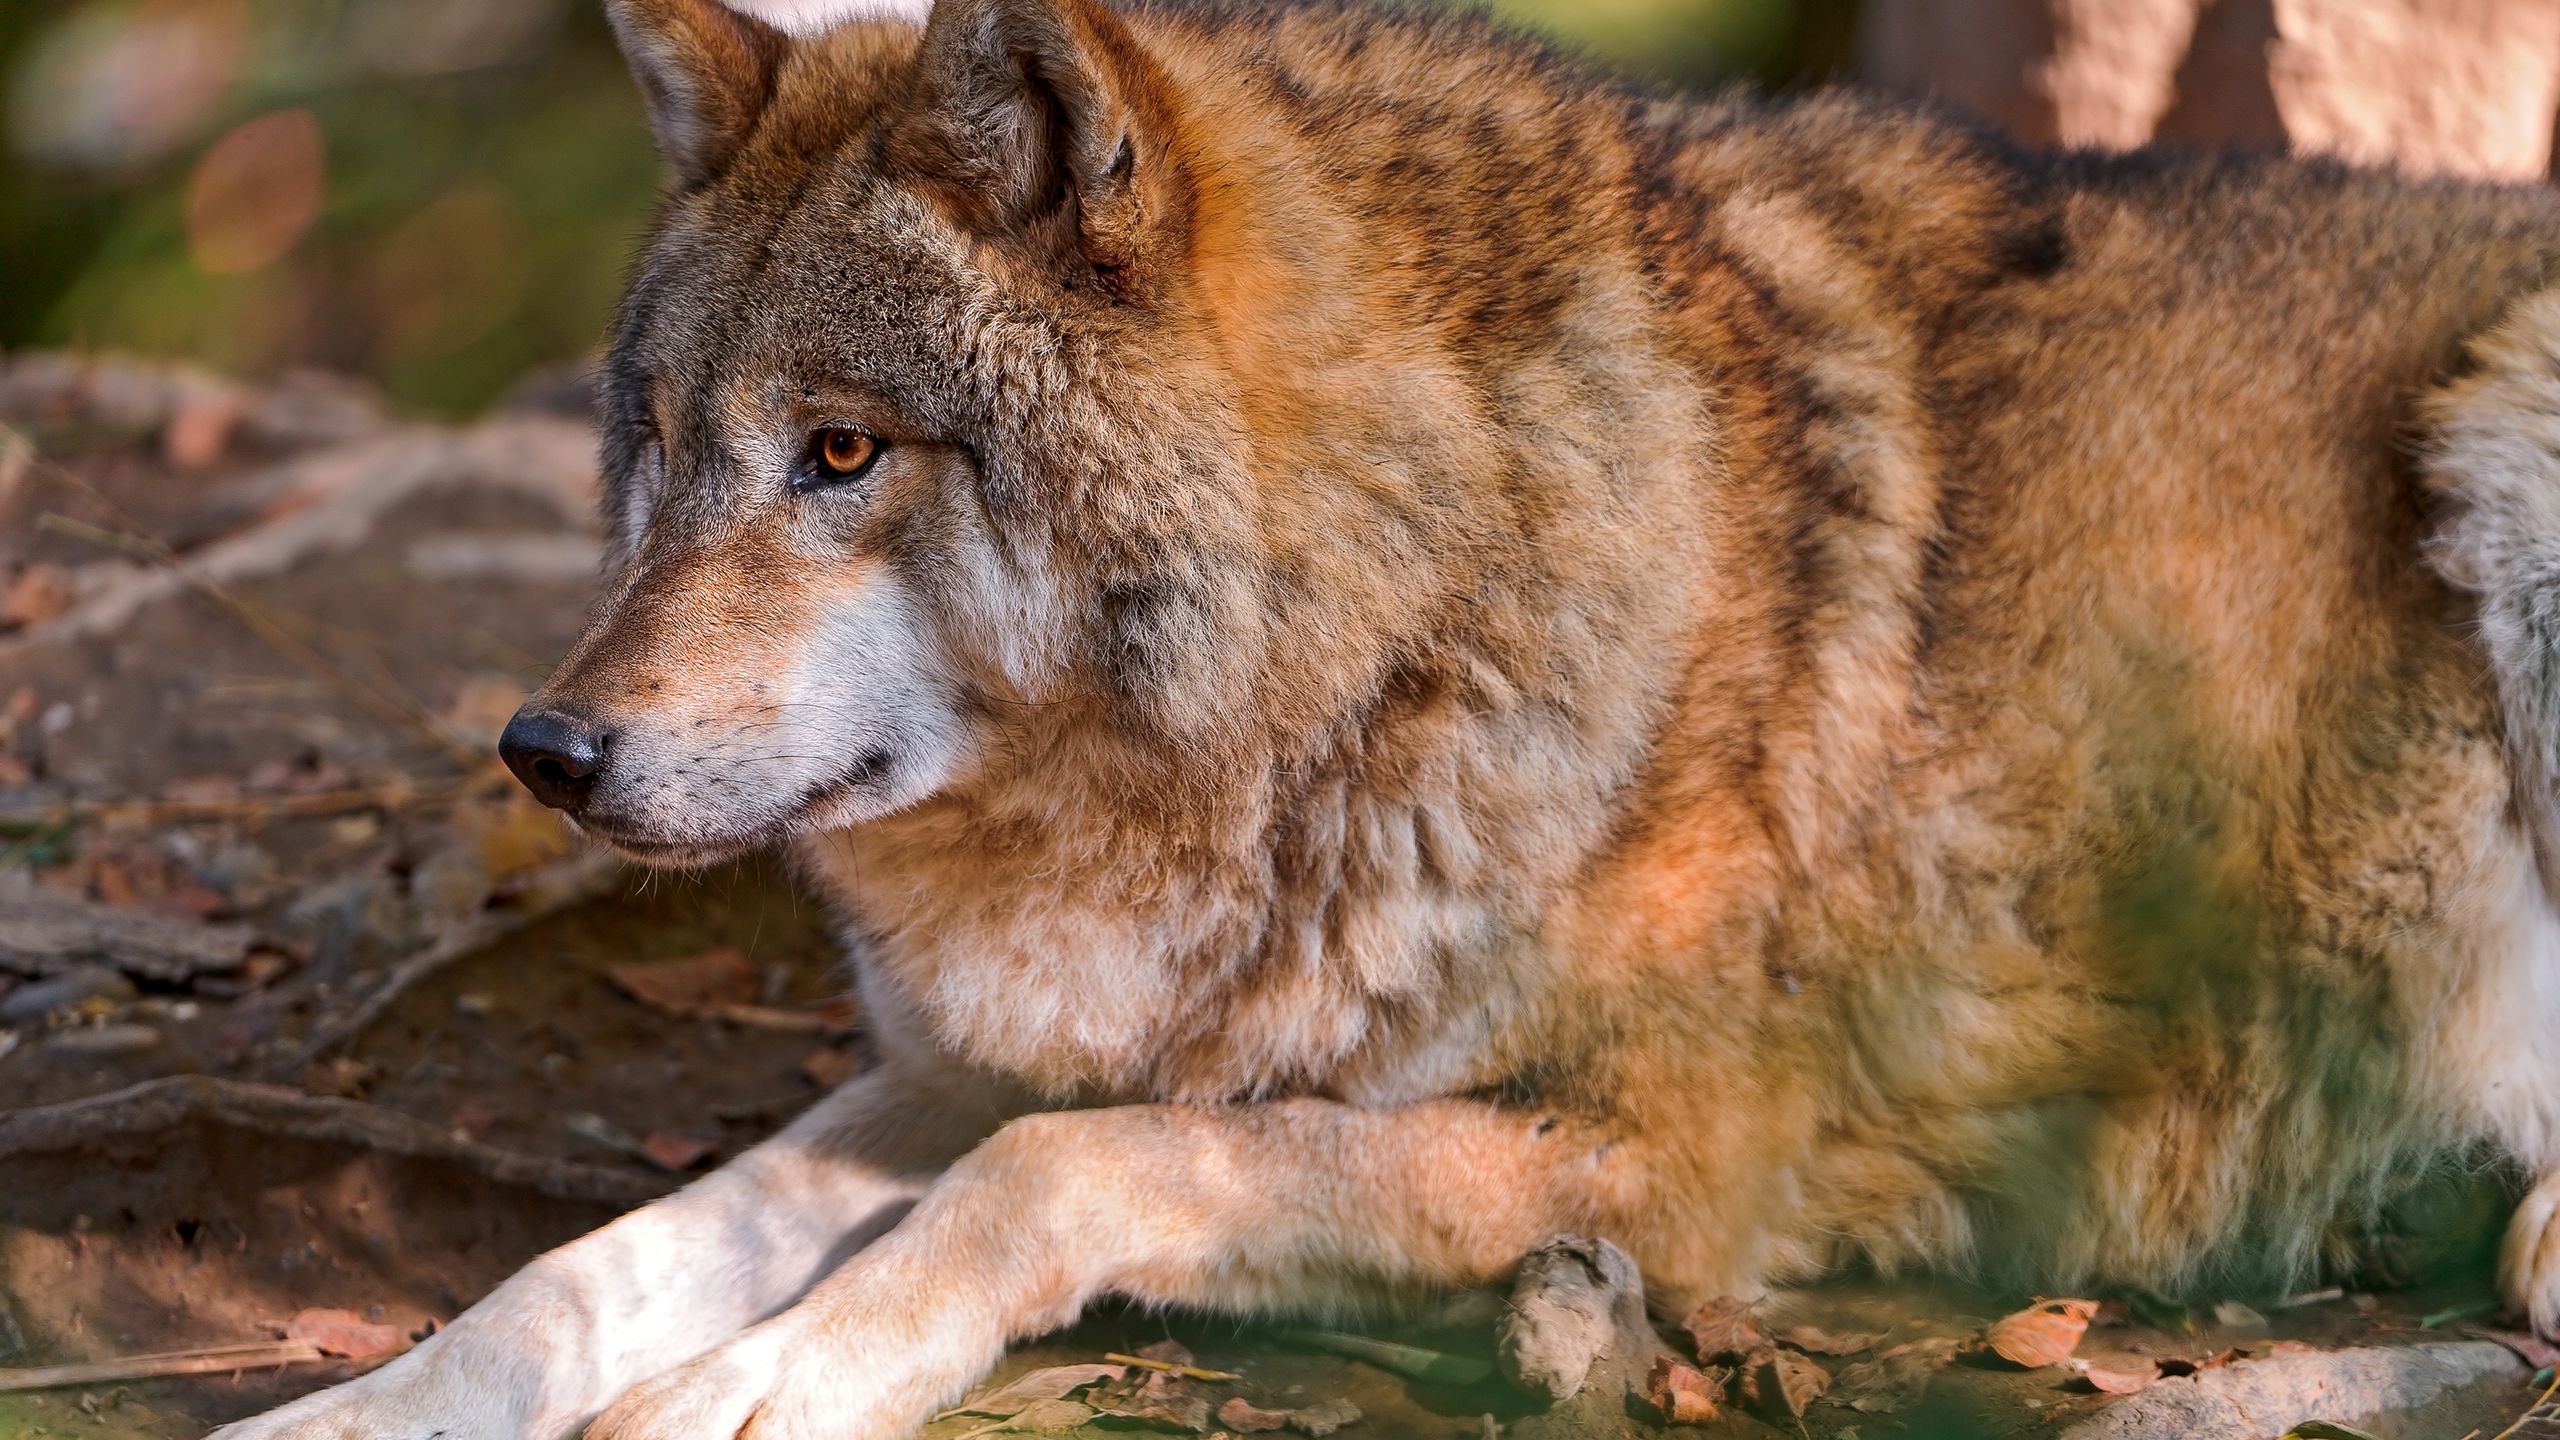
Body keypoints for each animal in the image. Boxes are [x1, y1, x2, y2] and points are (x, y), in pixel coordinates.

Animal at [220, 0, 2560, 1434]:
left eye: (842, 452)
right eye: (662, 445)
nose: (546, 754)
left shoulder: (1676, 1150)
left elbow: (1063, 1172)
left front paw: (765, 1384)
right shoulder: (972, 1060)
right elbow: (584, 1267)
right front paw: (353, 1403)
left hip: (2510, 435)